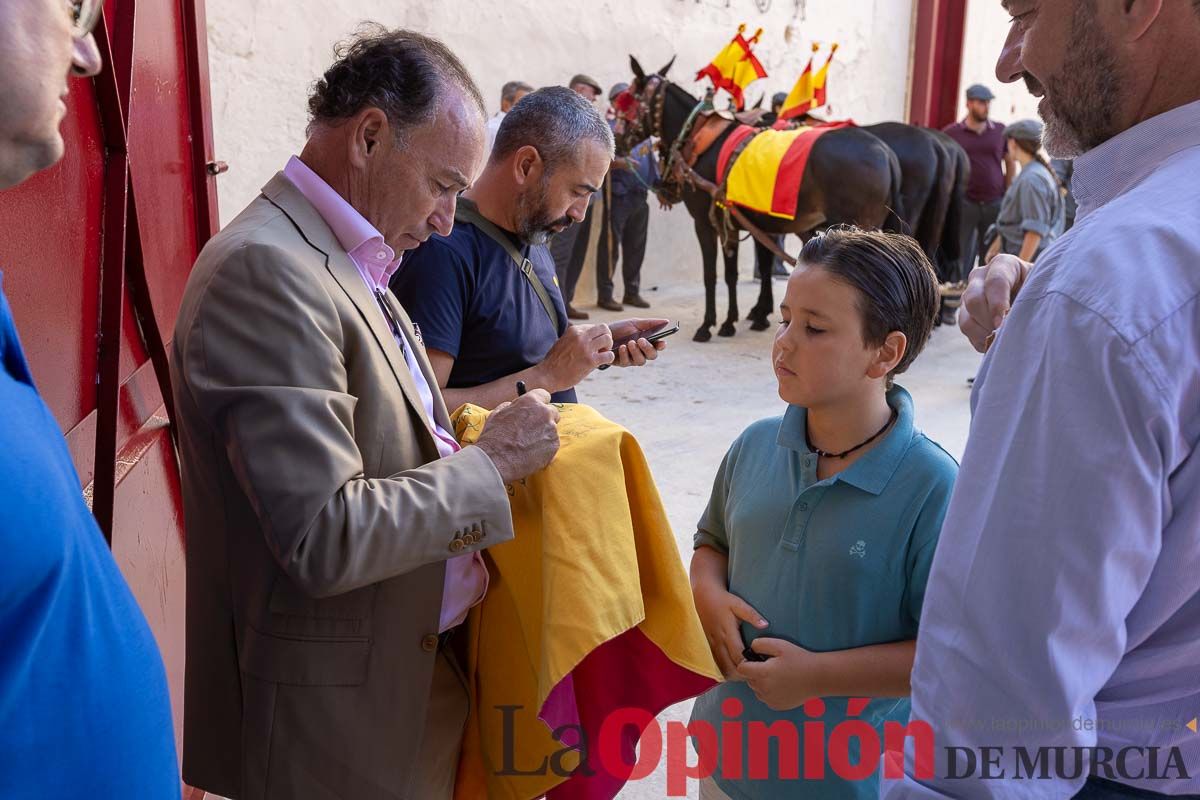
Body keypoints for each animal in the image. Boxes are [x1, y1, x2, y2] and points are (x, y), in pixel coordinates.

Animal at [624, 55, 902, 345]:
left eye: (628, 98)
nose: (619, 138)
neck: (700, 138)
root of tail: (885, 152)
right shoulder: (754, 224)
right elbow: (752, 270)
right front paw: (750, 316)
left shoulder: (709, 223)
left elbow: (716, 274)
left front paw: (713, 323)